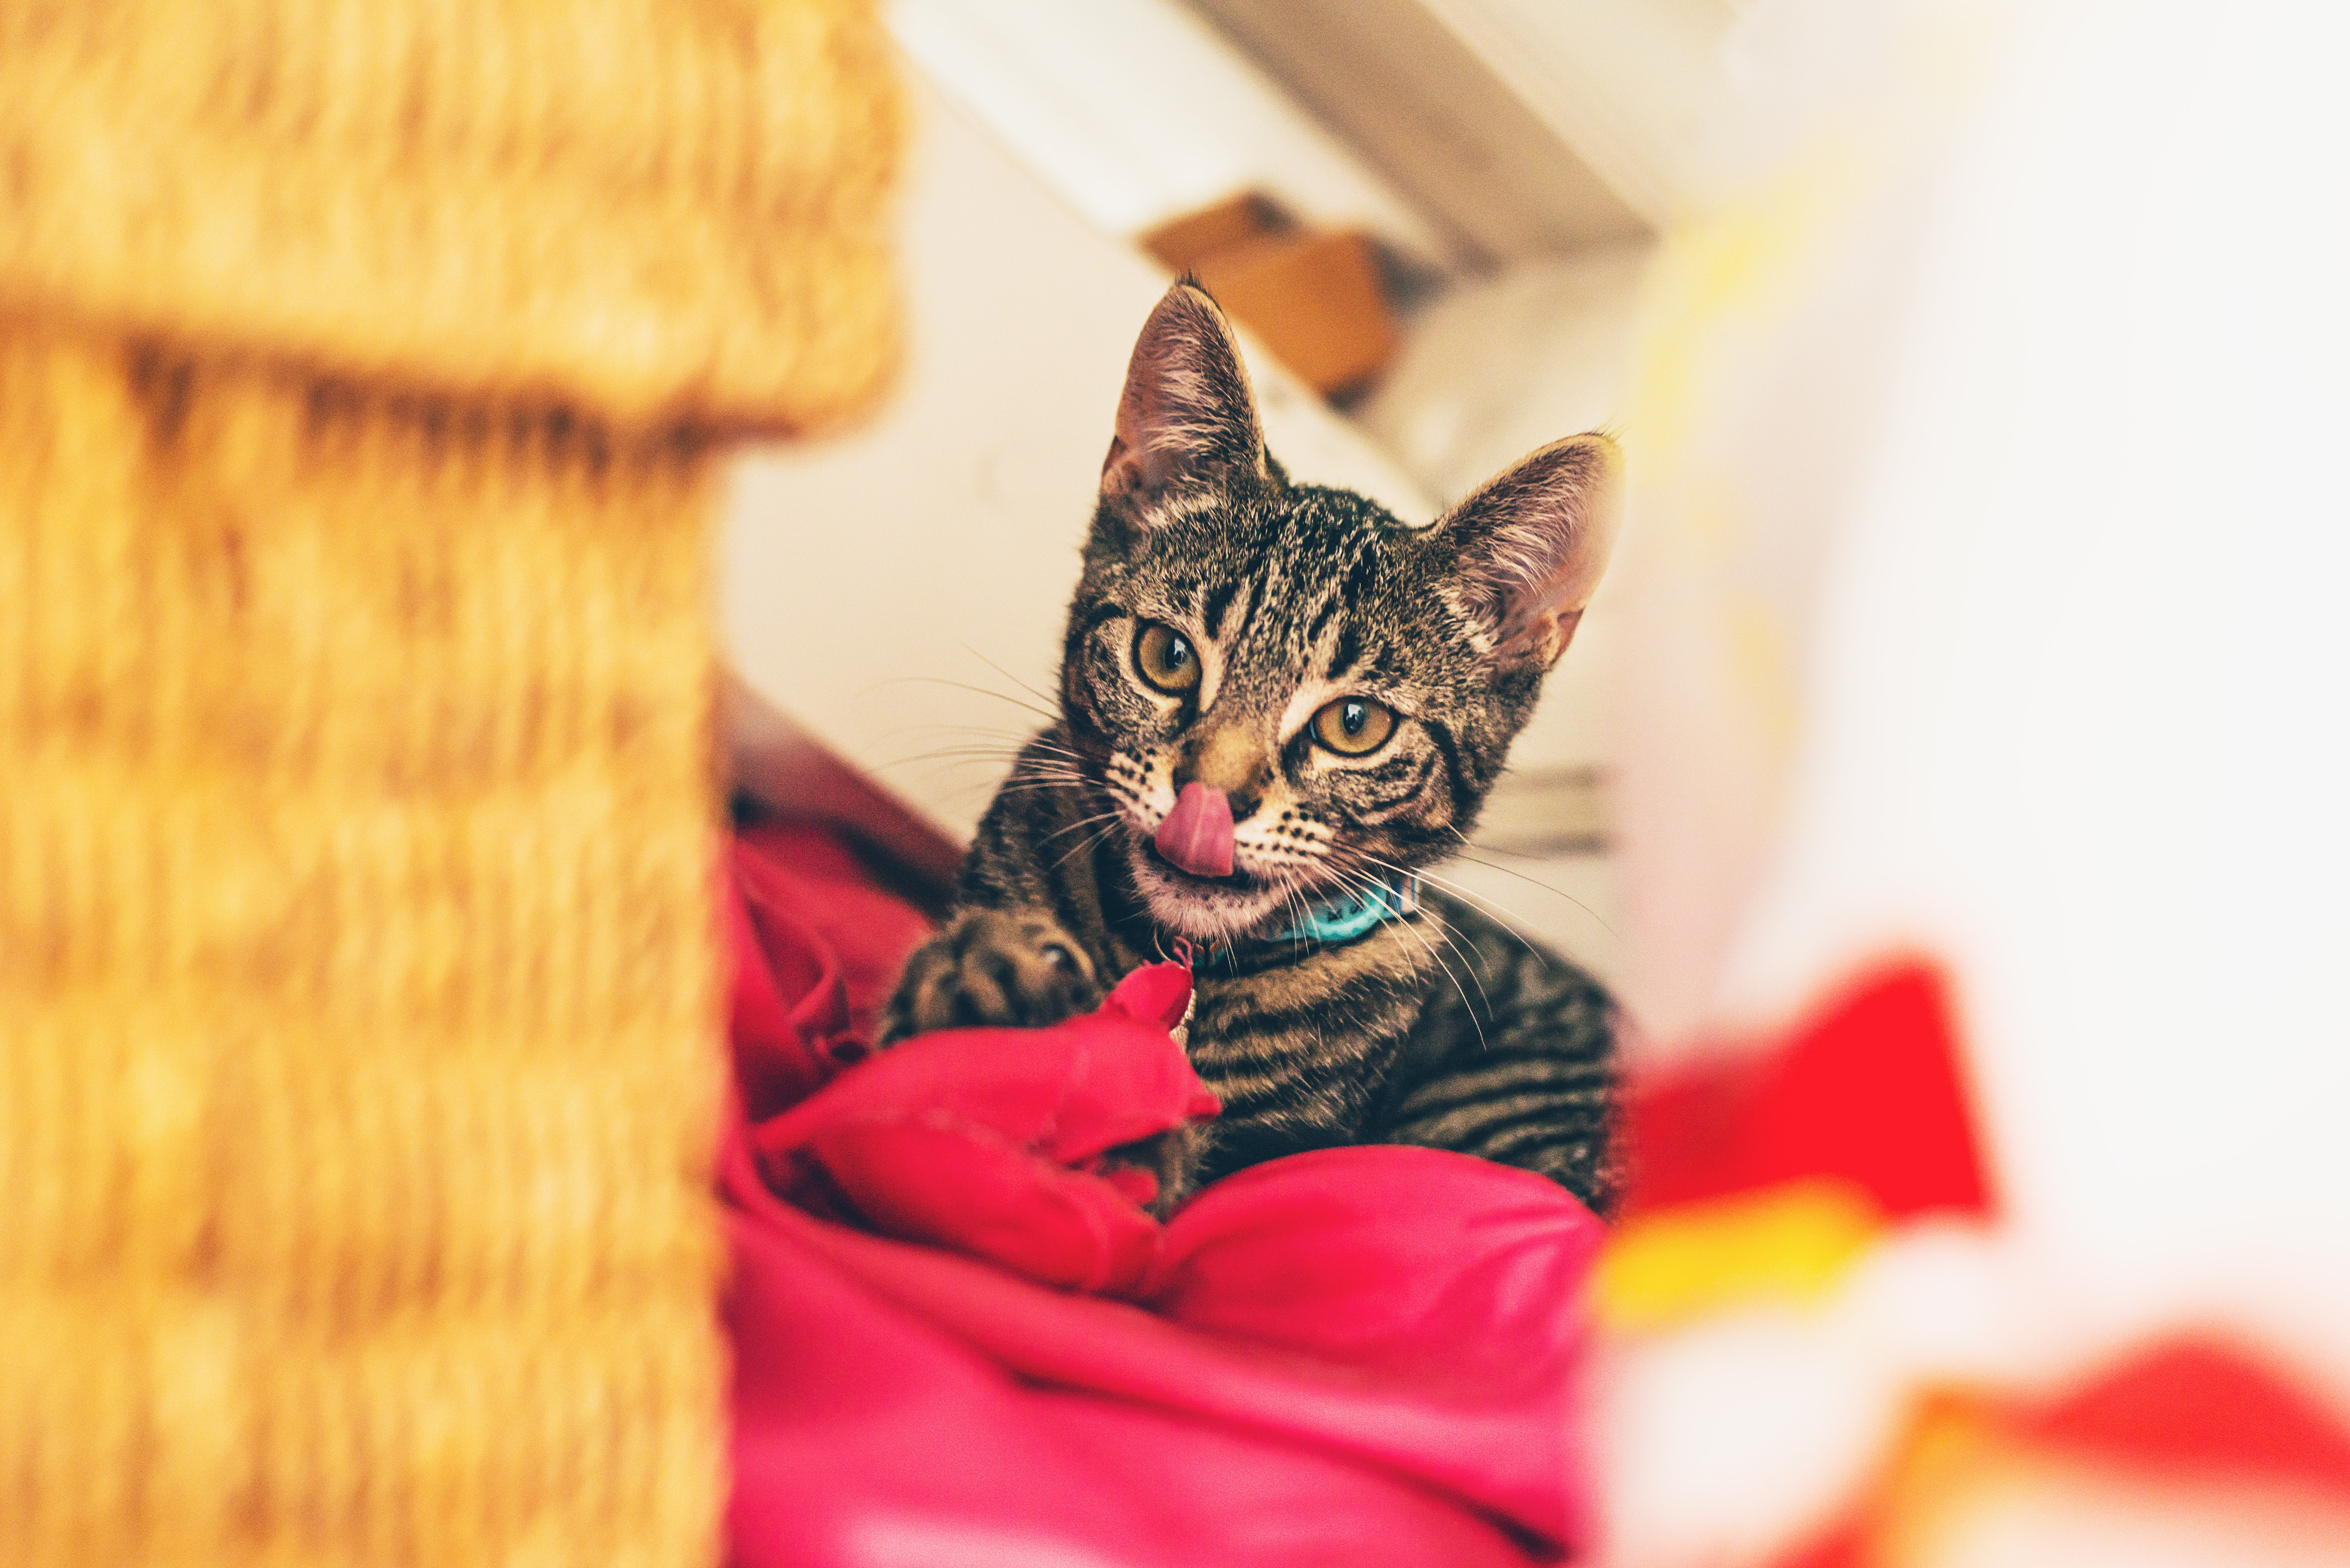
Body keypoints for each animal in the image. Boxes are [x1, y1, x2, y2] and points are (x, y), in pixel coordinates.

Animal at [874, 286, 1626, 1213]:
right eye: (1166, 656)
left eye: (1355, 726)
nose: (1210, 798)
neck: (1170, 955)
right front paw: (982, 973)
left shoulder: (1242, 1163)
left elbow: (1160, 1165)